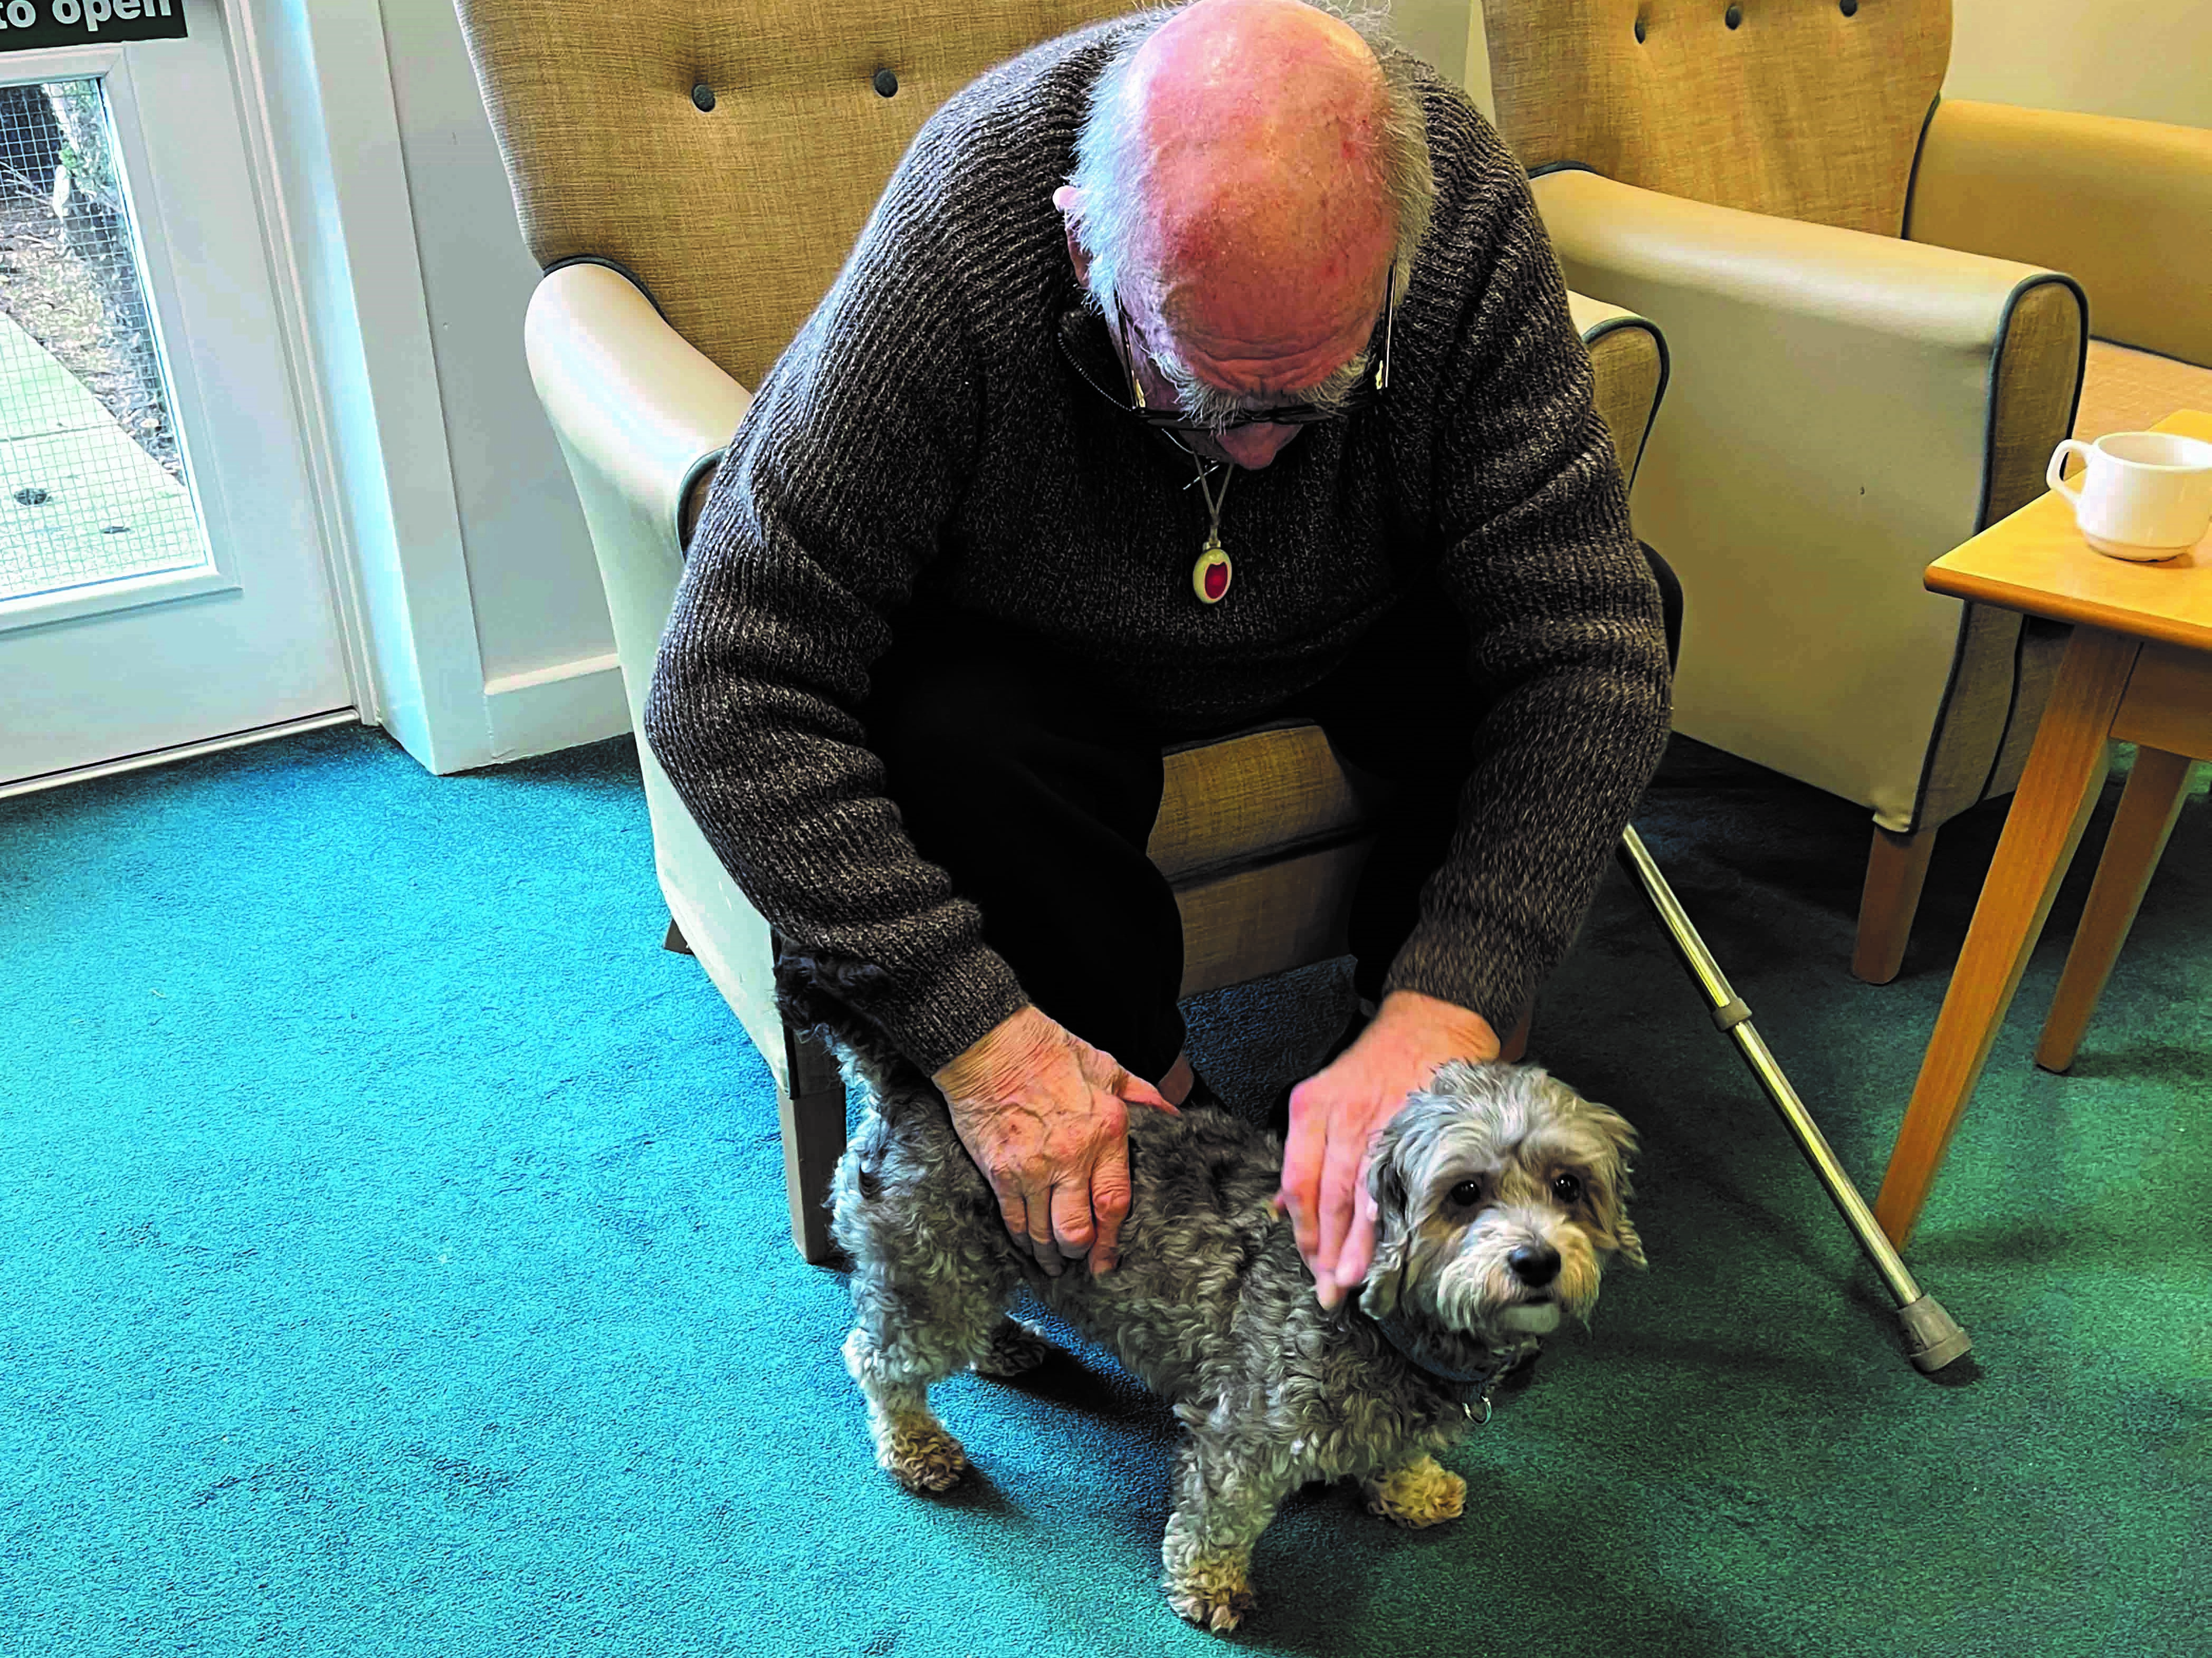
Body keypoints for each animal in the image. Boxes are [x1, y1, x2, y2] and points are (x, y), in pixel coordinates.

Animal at [792, 972, 1645, 1636]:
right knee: (879, 1359)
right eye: (1465, 1191)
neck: (1389, 1327)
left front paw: (1413, 1486)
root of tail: (912, 1080)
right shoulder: (1246, 1433)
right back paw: (917, 1444)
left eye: (1569, 1184)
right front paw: (1210, 1584)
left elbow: (1398, 1453)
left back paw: (1005, 1343)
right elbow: (1219, 1516)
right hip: (930, 1276)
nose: (1537, 1260)